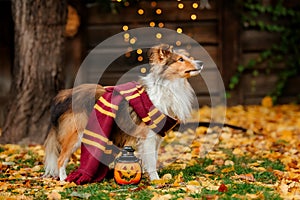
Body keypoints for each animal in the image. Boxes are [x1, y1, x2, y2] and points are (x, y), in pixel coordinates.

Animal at [44, 43, 204, 183]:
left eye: (187, 57)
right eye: (180, 59)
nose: (201, 62)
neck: (169, 86)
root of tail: (65, 95)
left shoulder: (157, 136)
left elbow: (153, 158)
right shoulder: (148, 136)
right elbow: (152, 161)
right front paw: (156, 180)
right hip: (76, 134)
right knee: (60, 159)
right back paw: (64, 180)